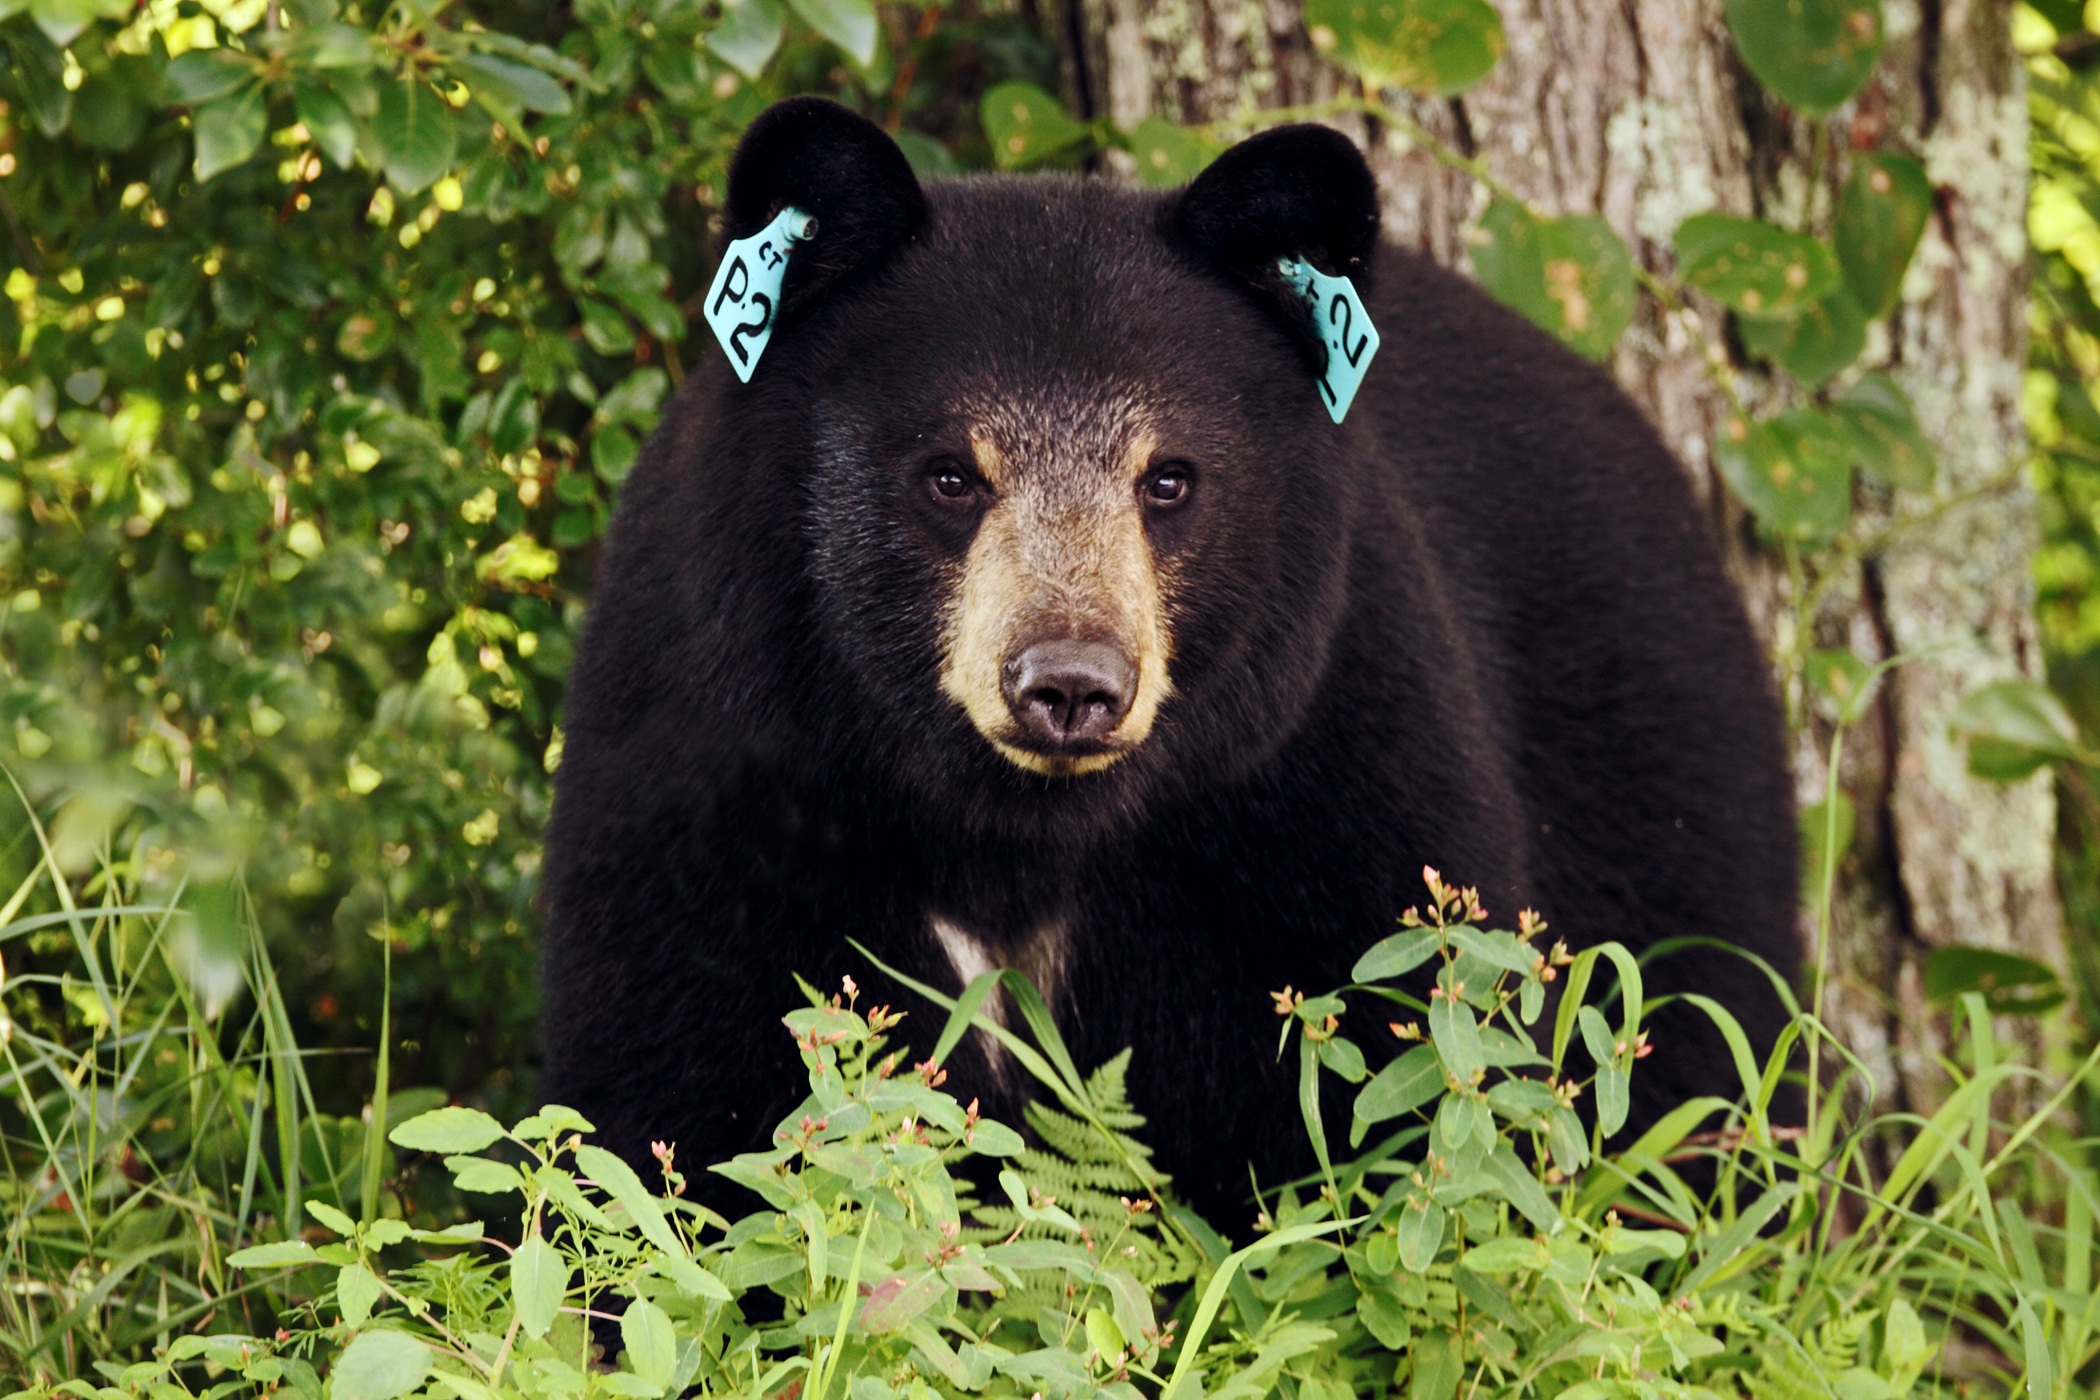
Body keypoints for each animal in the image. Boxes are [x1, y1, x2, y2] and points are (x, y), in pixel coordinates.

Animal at [537, 96, 1789, 1225]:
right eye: (949, 472)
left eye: (1170, 477)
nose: (1069, 684)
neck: (1014, 832)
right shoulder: (726, 763)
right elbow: (686, 1097)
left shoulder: (1325, 762)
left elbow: (1398, 1082)